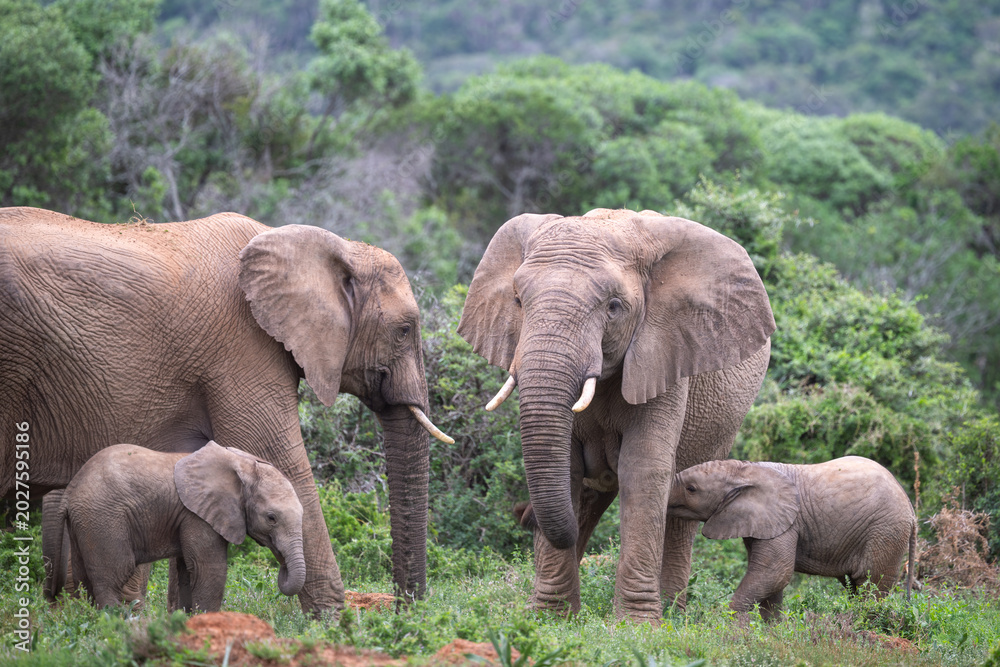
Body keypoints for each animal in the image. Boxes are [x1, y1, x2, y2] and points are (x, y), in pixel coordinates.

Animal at [49, 442, 304, 611]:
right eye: (271, 518)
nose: (280, 564)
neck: (243, 464)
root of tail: (70, 491)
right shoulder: (197, 515)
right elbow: (208, 569)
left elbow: (187, 572)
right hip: (103, 519)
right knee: (113, 576)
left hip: (84, 522)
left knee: (84, 581)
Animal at [458, 208, 775, 622]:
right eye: (517, 300)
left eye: (613, 306)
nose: (521, 515)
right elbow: (569, 469)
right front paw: (550, 618)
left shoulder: (664, 355)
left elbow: (643, 470)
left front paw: (636, 625)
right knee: (589, 501)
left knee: (680, 511)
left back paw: (672, 613)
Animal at [668, 456, 917, 621]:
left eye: (691, 489)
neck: (745, 468)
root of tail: (911, 509)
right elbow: (771, 580)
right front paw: (771, 632)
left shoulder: (788, 523)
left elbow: (775, 572)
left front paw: (728, 626)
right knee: (855, 587)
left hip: (885, 531)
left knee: (871, 586)